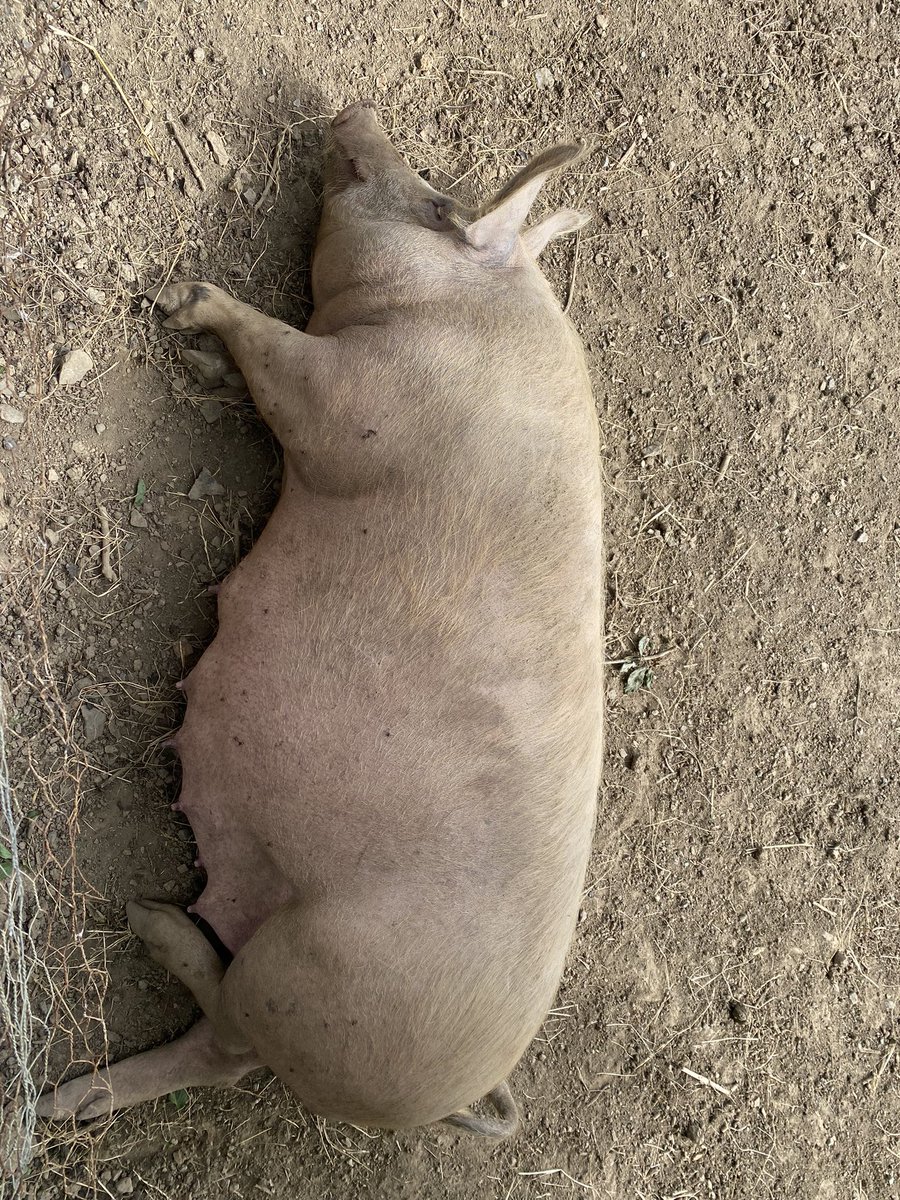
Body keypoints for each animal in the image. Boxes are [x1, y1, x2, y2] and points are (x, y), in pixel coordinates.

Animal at [37, 101, 603, 1137]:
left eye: (437, 200)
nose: (353, 112)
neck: (469, 321)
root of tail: (468, 1095)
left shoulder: (356, 399)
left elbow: (287, 363)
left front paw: (182, 304)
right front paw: (198, 360)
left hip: (307, 975)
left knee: (223, 1048)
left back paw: (141, 935)